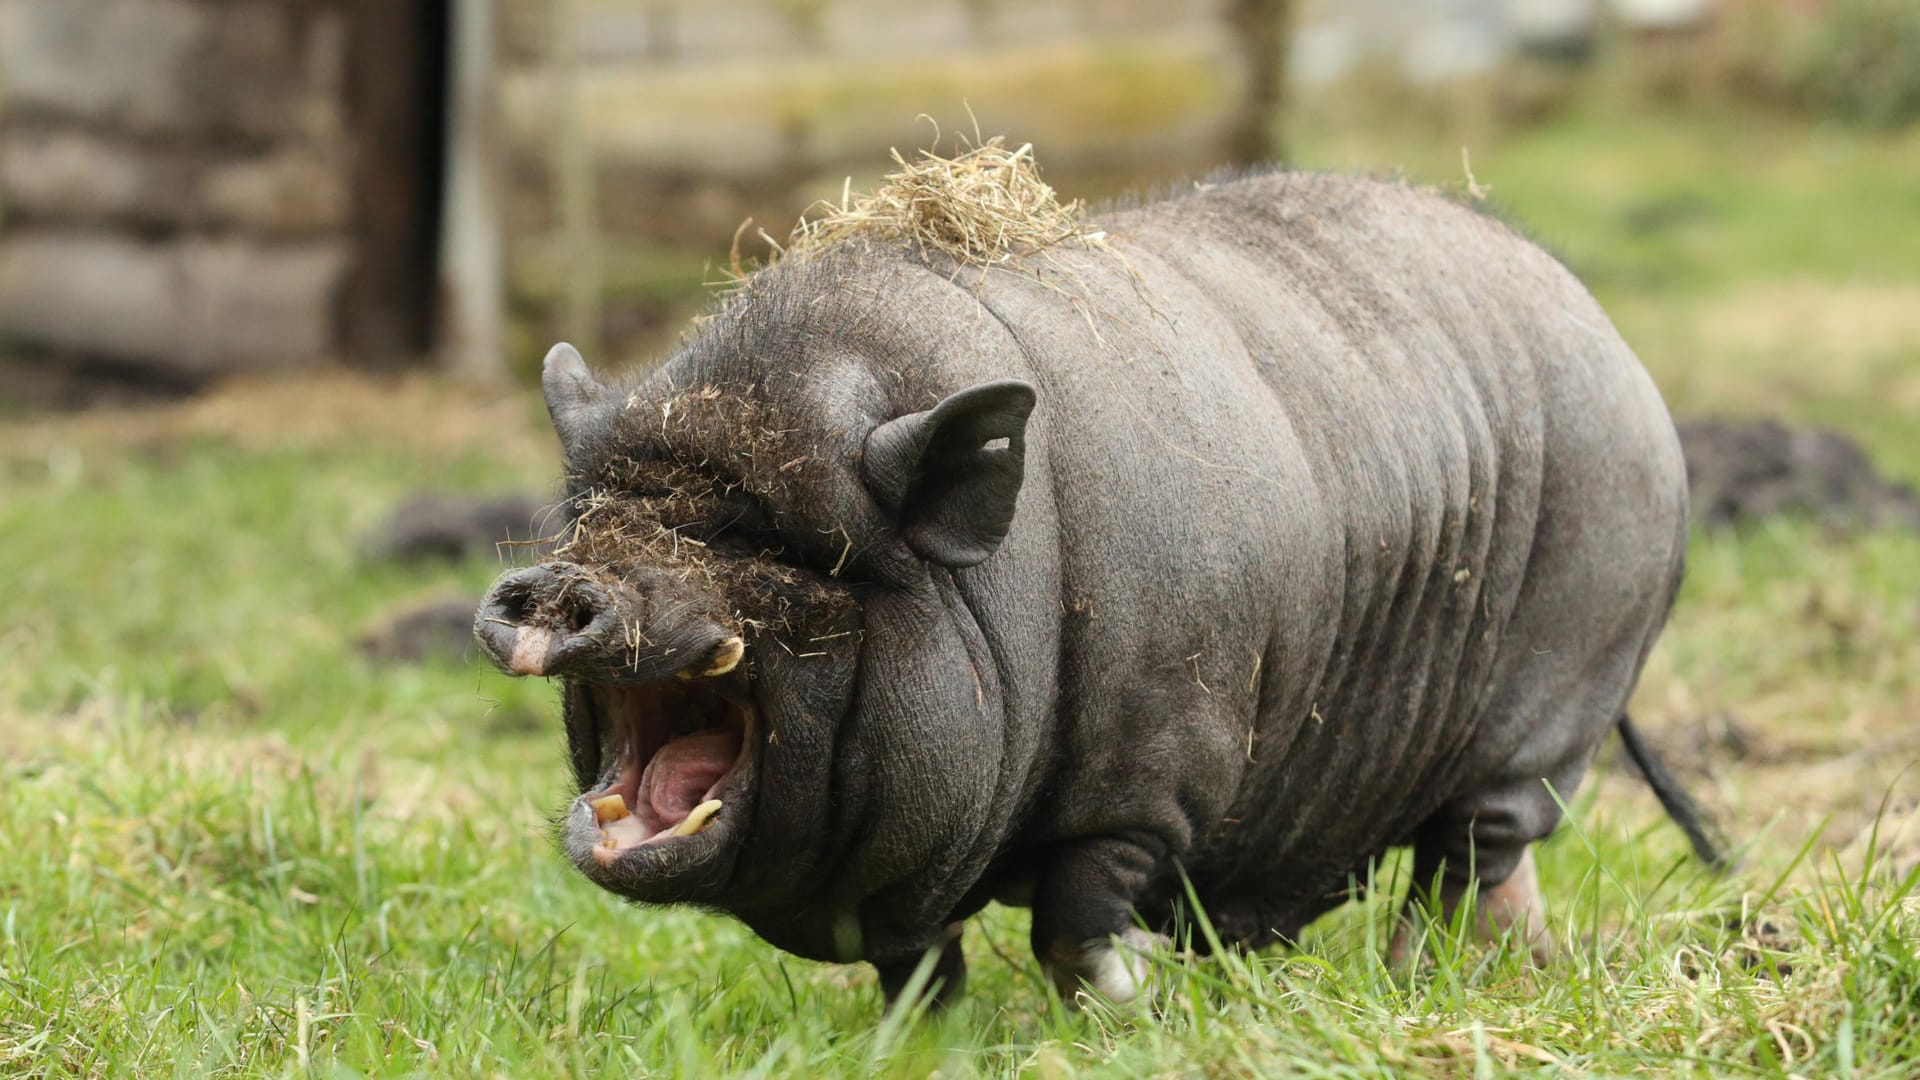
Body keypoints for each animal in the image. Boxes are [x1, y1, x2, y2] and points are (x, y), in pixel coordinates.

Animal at [476, 164, 1728, 1006]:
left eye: (768, 543)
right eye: (594, 516)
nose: (557, 590)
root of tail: (1605, 331)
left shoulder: (1157, 765)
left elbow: (1080, 918)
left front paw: (1130, 1014)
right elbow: (916, 967)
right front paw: (918, 1039)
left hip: (1567, 676)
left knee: (1480, 851)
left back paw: (1432, 979)